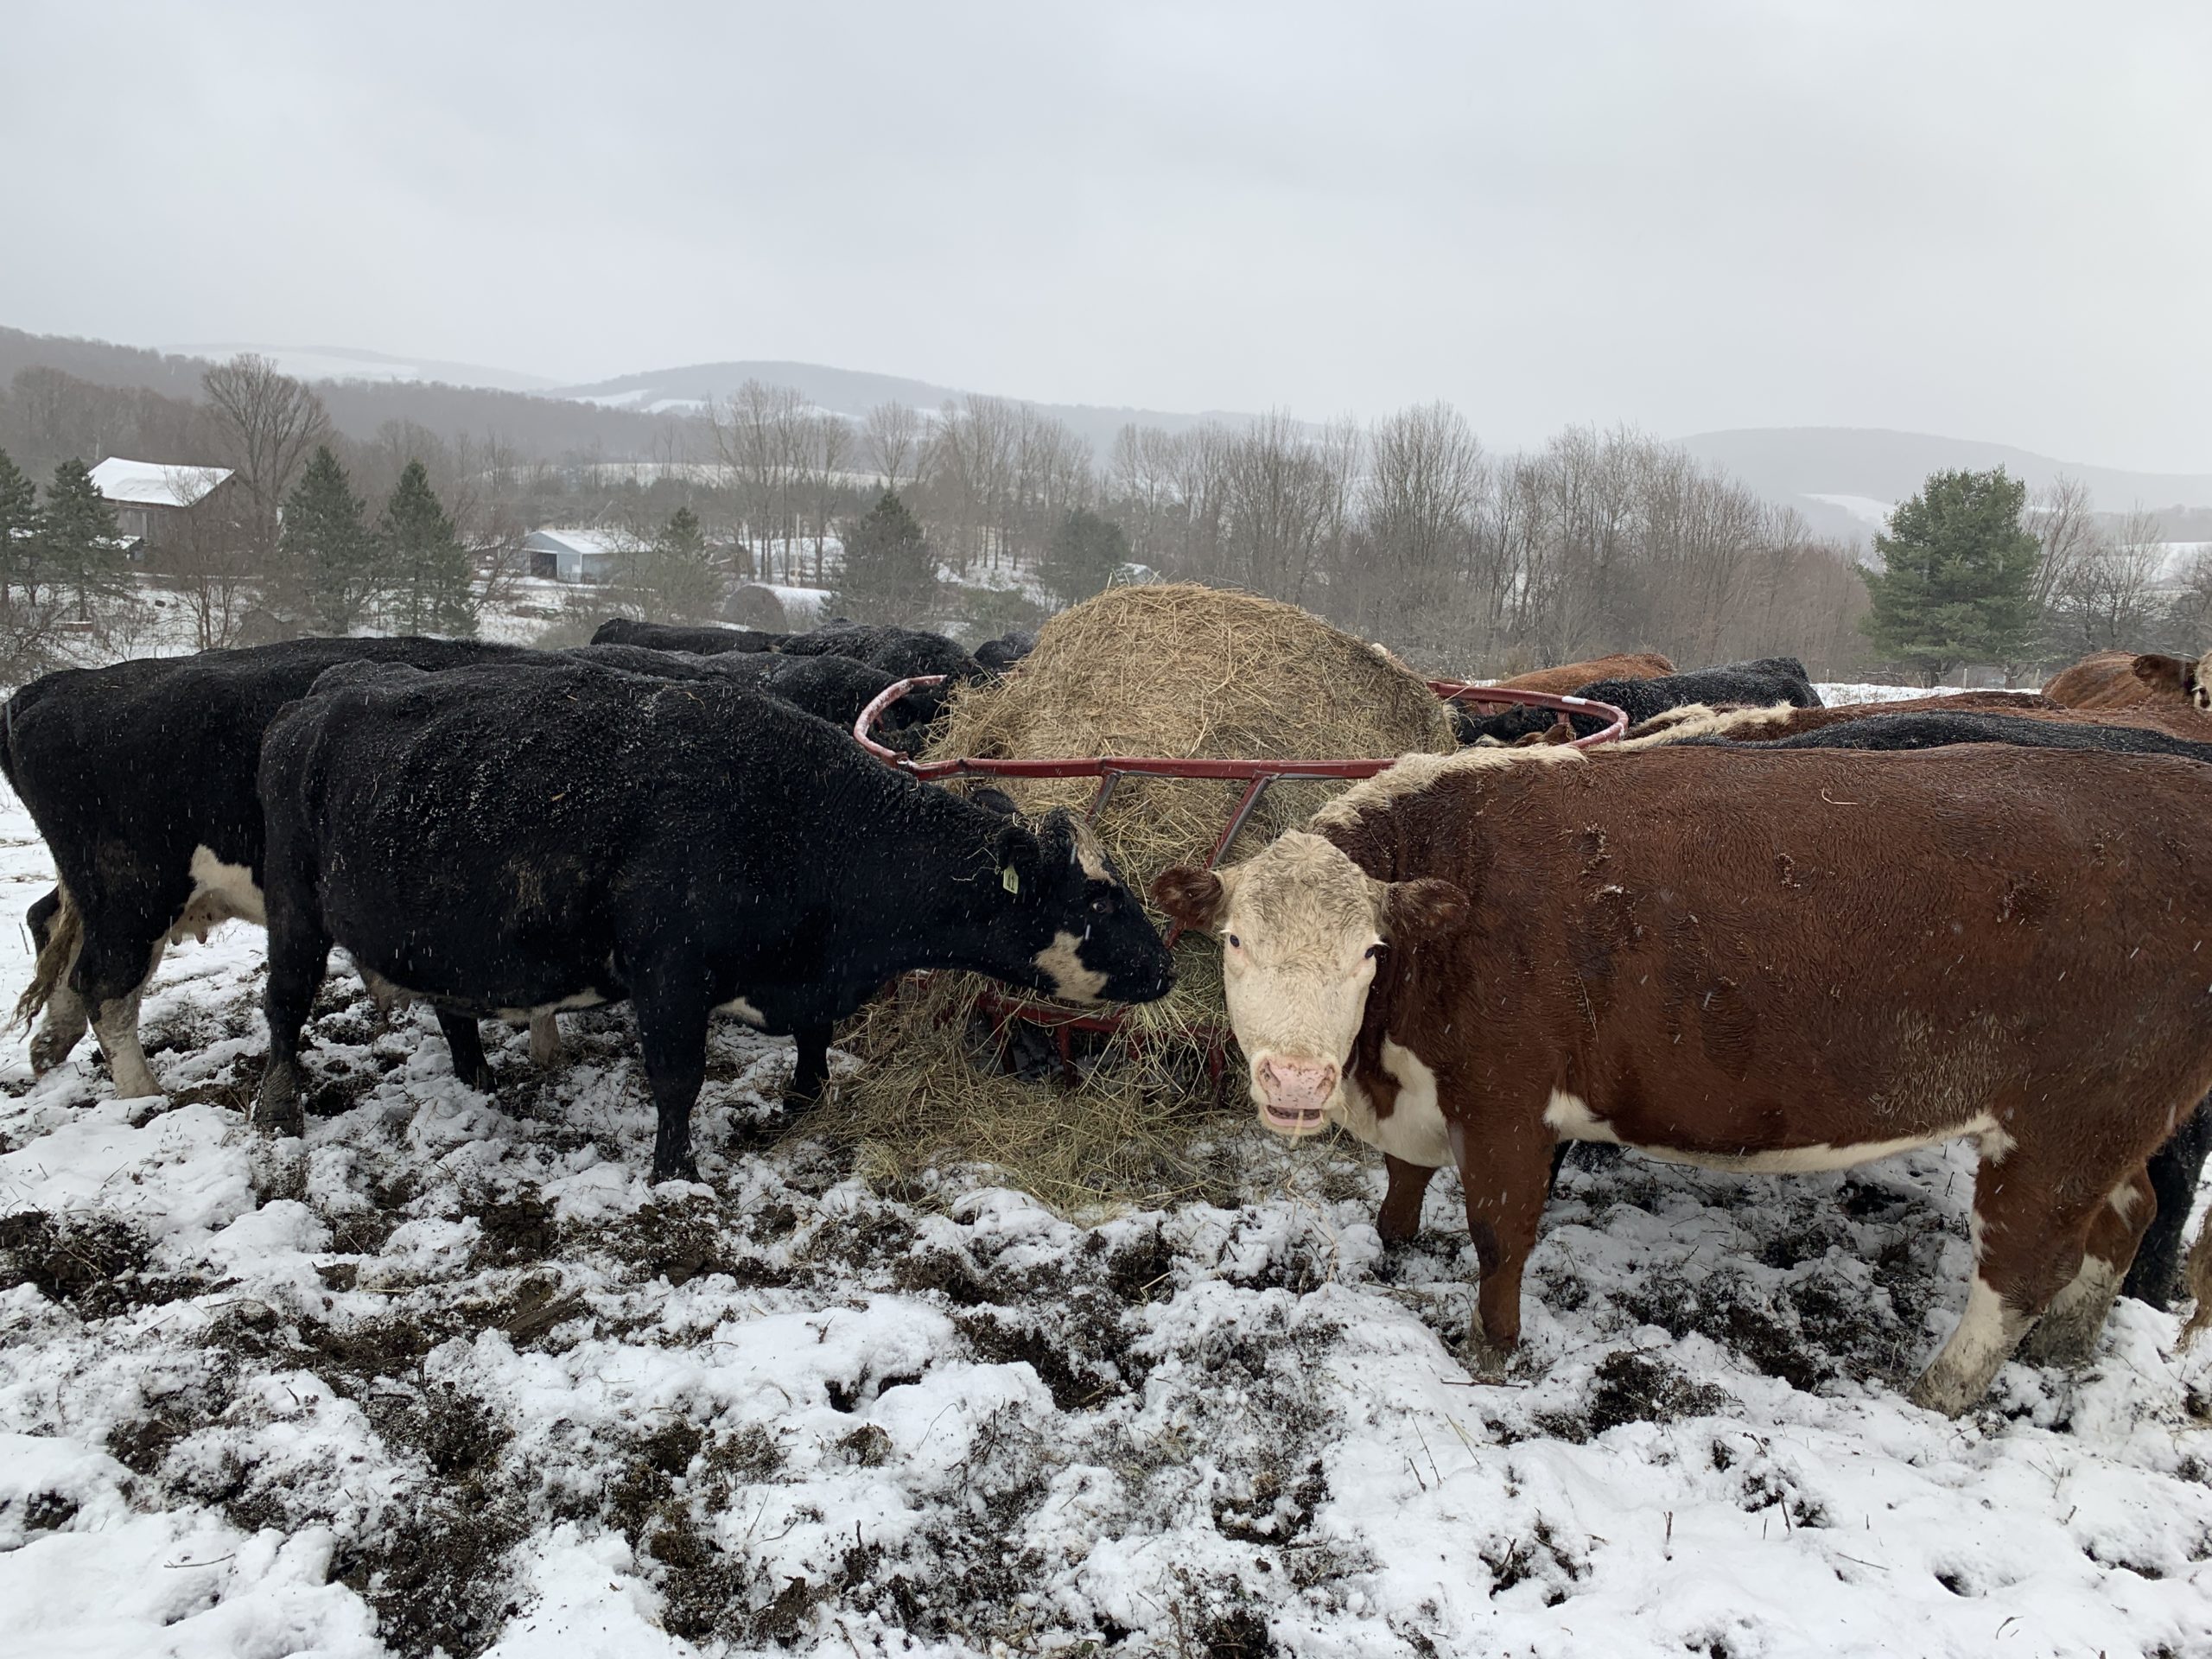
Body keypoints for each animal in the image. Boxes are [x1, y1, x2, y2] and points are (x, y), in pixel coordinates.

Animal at [1, 637, 536, 1100]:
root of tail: (58, 685)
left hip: (98, 891)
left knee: (50, 923)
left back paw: (50, 1046)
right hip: (133, 890)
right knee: (103, 983)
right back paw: (144, 1095)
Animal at [254, 661, 1175, 1182]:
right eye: (1099, 898)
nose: (1167, 968)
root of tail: (316, 699)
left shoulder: (804, 982)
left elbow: (813, 1048)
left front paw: (801, 1103)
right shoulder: (668, 971)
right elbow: (678, 1078)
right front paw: (676, 1173)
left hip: (442, 935)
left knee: (453, 1006)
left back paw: (478, 1077)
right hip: (293, 909)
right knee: (284, 1007)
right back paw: (279, 1107)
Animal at [1152, 743, 2212, 1414]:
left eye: (1369, 953)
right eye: (1236, 941)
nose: (1296, 1079)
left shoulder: (1504, 1098)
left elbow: (1499, 1235)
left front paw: (1489, 1353)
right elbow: (1400, 1188)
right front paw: (1393, 1248)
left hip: (2062, 1123)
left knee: (2023, 1268)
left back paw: (1937, 1395)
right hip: (2117, 1121)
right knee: (2130, 1215)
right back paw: (2072, 1348)